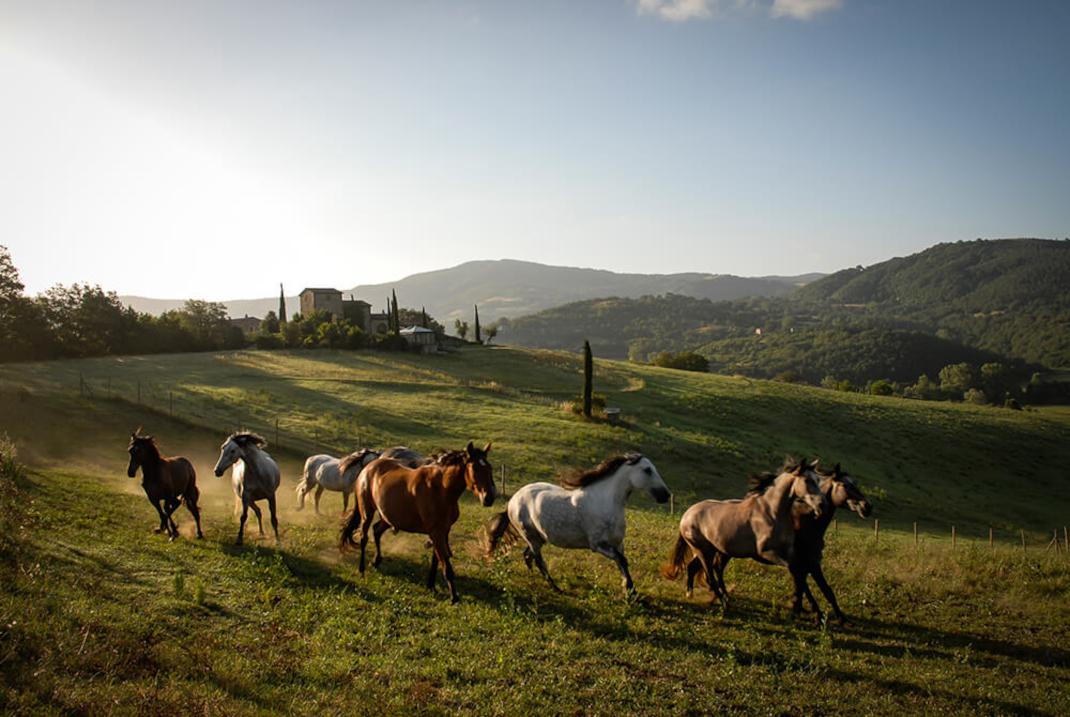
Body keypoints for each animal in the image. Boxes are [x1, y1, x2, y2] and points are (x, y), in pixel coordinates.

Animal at [338, 440, 496, 603]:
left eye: (489, 468)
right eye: (475, 468)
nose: (489, 498)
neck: (441, 489)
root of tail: (368, 467)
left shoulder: (443, 531)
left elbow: (437, 560)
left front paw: (431, 585)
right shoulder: (436, 532)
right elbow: (446, 565)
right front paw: (454, 597)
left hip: (388, 517)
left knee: (376, 530)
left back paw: (376, 561)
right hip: (367, 512)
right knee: (364, 537)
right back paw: (362, 569)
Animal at [485, 455, 667, 595]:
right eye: (647, 470)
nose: (666, 495)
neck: (605, 502)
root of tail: (512, 501)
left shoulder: (618, 543)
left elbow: (623, 564)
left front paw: (630, 591)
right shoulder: (598, 545)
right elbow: (622, 561)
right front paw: (630, 592)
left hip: (539, 537)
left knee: (527, 555)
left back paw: (533, 577)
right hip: (530, 536)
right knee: (538, 560)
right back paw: (556, 588)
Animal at [659, 464, 826, 607]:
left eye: (818, 480)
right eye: (808, 480)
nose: (821, 505)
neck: (771, 512)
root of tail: (687, 514)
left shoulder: (790, 553)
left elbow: (801, 573)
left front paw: (815, 610)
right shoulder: (766, 554)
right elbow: (797, 572)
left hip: (714, 551)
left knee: (695, 567)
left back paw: (694, 594)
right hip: (704, 552)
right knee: (711, 576)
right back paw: (723, 602)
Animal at [787, 464, 868, 624]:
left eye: (855, 483)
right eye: (845, 485)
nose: (867, 506)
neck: (807, 524)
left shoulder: (804, 564)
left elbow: (803, 586)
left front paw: (809, 610)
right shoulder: (810, 564)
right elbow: (826, 590)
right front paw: (840, 618)